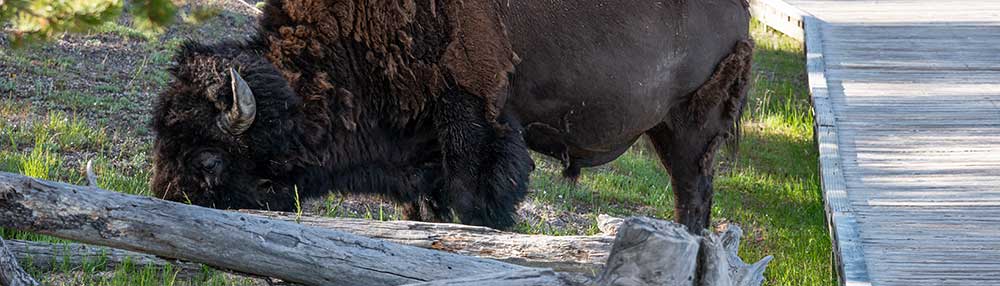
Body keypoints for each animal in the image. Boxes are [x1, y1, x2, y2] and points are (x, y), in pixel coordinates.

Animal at [152, 0, 752, 232]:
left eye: (208, 160)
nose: (163, 202)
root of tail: (740, 12)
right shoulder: (423, 149)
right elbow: (425, 206)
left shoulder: (473, 118)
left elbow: (473, 199)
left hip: (690, 128)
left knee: (693, 195)